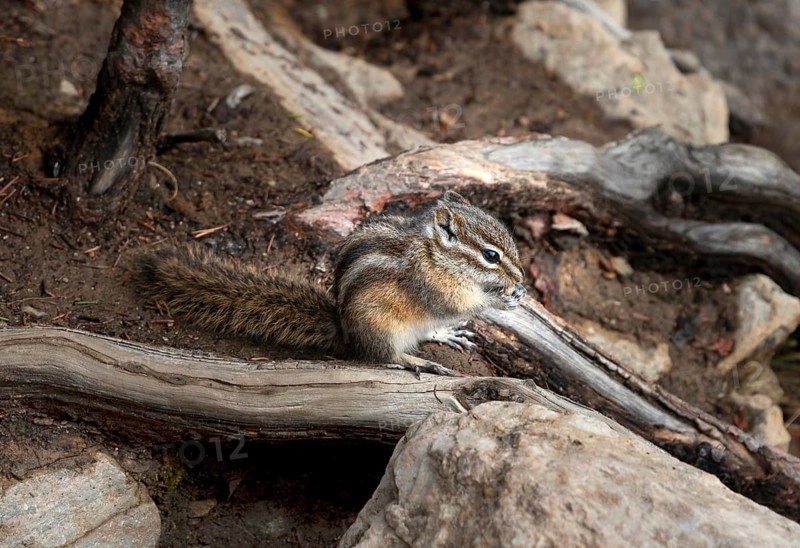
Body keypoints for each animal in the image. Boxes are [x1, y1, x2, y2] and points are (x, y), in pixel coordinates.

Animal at [130, 191, 526, 376]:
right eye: (491, 255)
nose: (521, 277)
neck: (434, 253)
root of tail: (344, 330)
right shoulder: (430, 284)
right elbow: (457, 304)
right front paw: (500, 299)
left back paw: (442, 335)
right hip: (381, 327)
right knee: (381, 357)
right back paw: (417, 361)